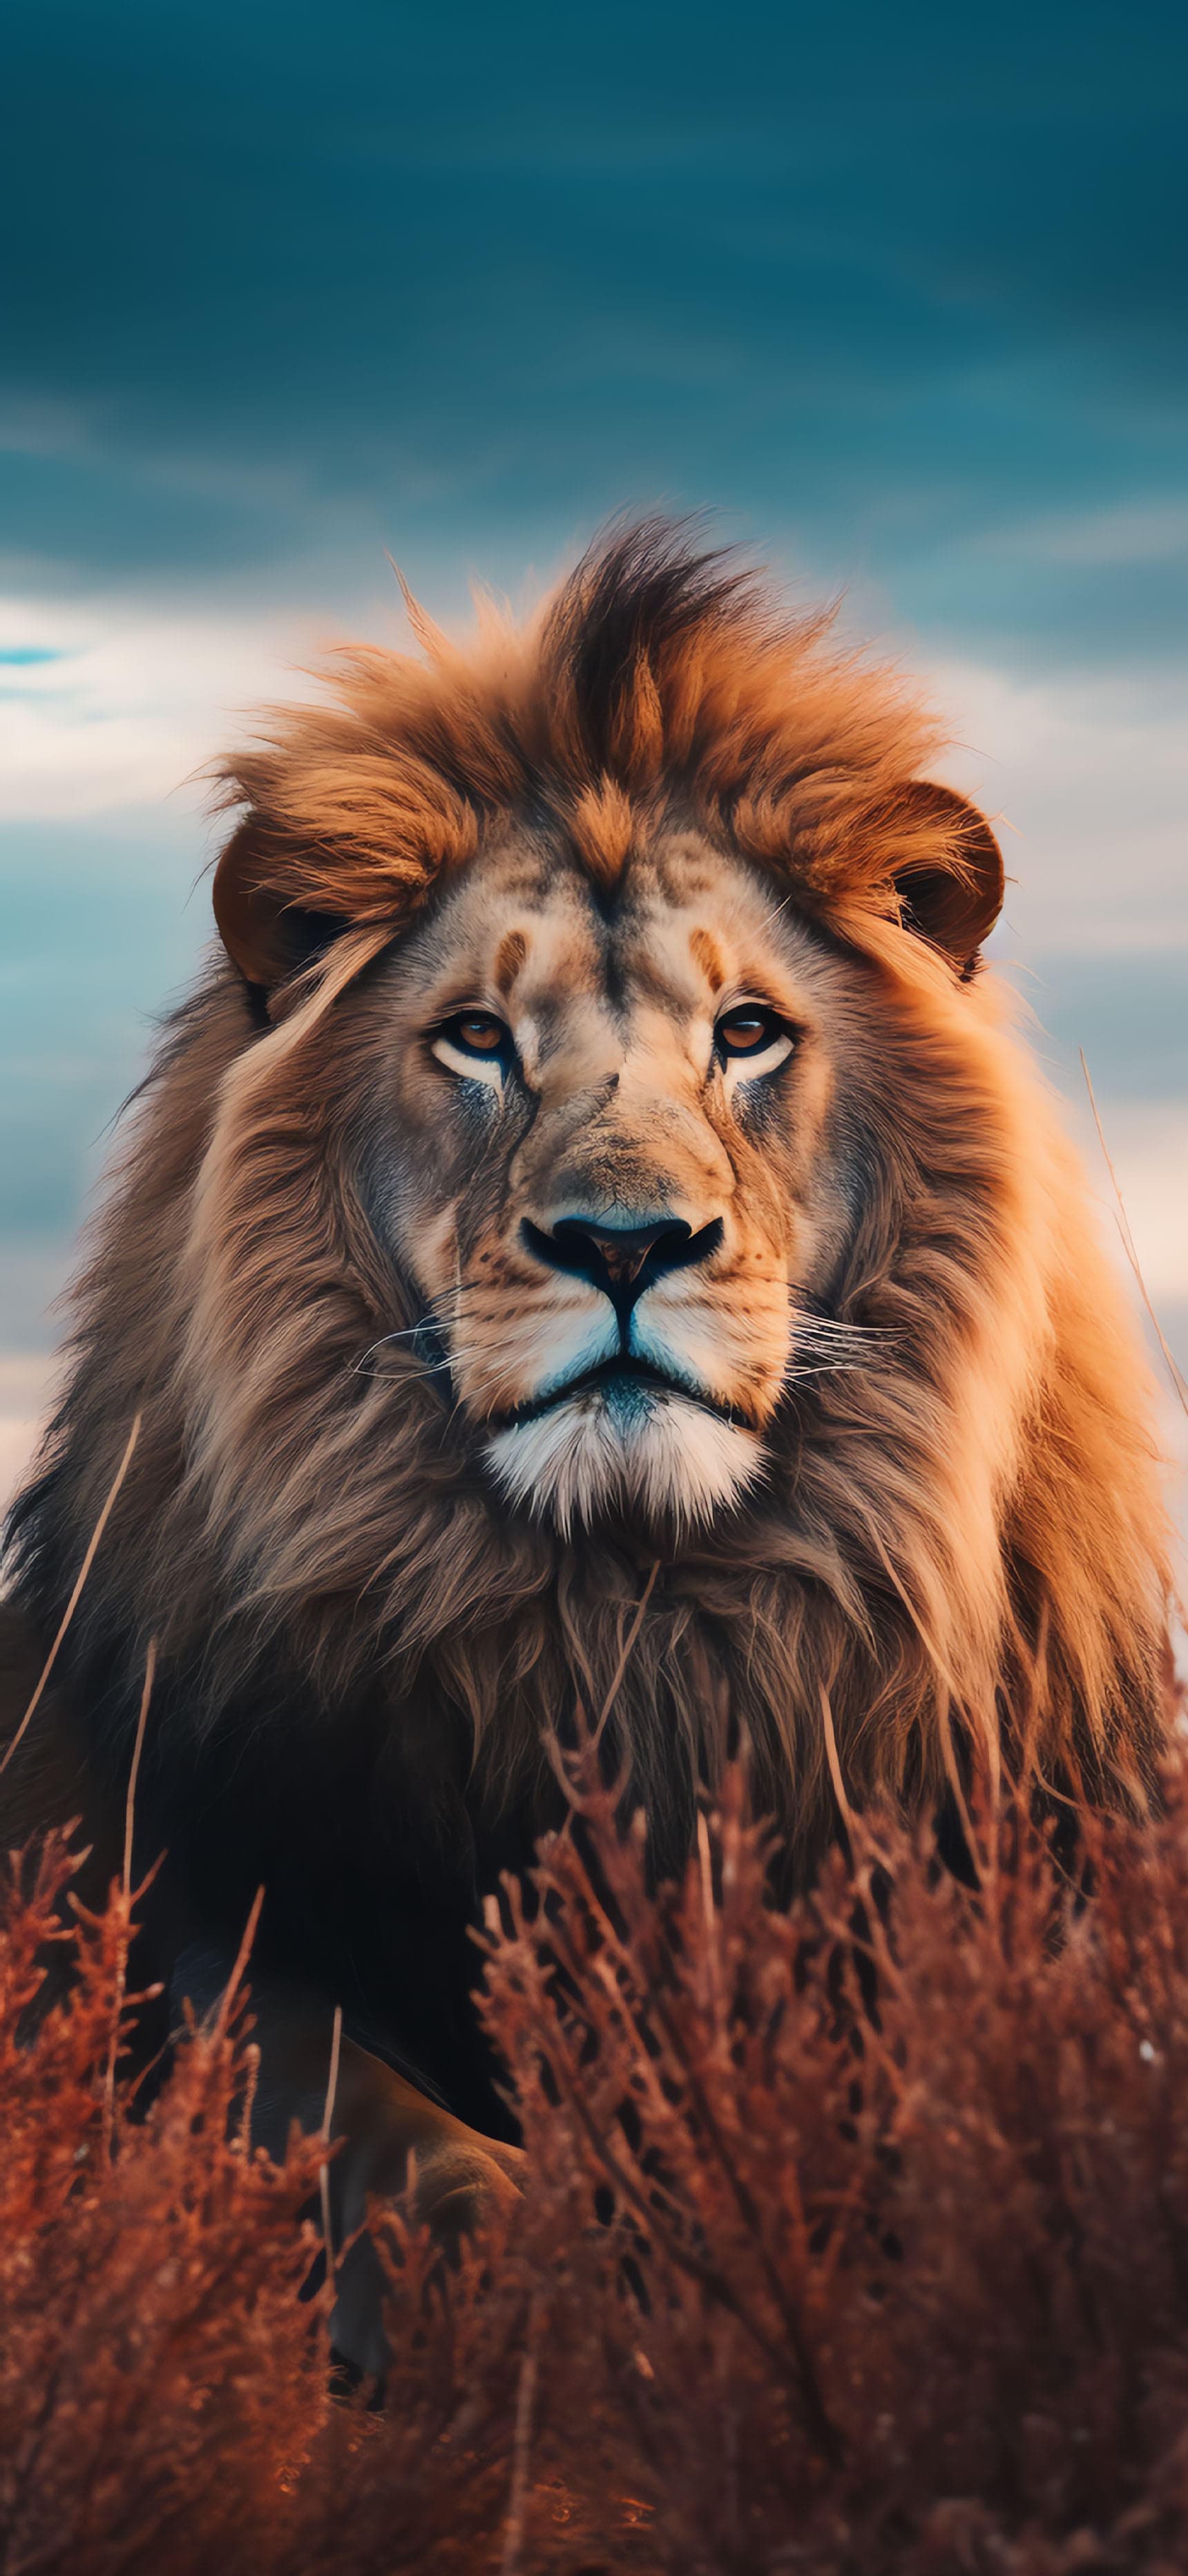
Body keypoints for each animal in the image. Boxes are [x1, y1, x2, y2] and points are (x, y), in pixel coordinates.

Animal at [1, 521, 1174, 2367]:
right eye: (477, 1038)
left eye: (746, 1031)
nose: (624, 1243)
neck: (627, 1632)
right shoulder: (190, 1904)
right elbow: (376, 2131)